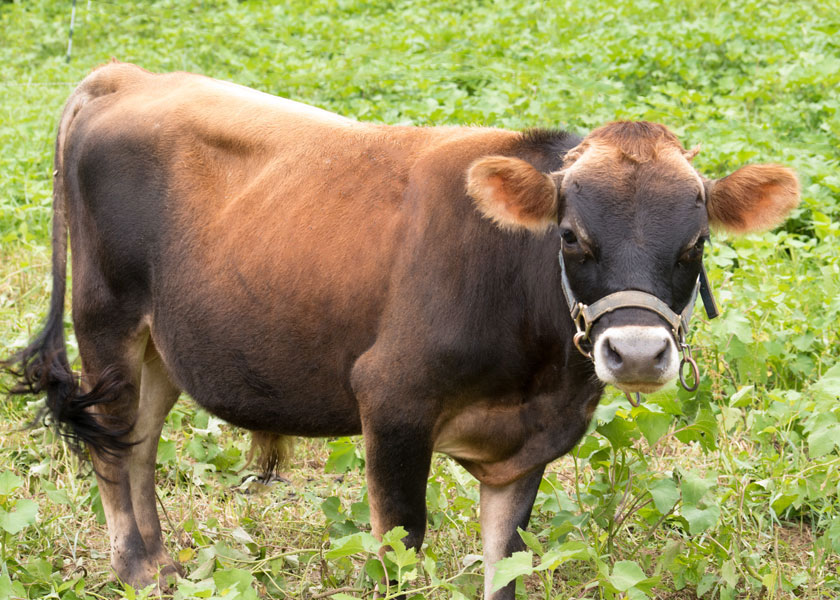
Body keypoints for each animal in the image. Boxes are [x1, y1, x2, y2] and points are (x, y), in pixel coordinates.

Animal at [3, 62, 799, 599]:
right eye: (571, 236)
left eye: (696, 242)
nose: (635, 352)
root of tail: (128, 76)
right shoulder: (390, 405)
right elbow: (401, 554)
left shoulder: (528, 444)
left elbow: (505, 563)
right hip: (105, 322)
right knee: (114, 447)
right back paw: (136, 568)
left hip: (162, 347)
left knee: (140, 441)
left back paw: (164, 565)